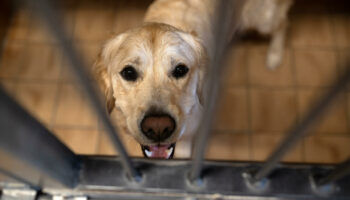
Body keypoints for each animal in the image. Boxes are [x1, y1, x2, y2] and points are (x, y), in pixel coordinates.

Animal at [93, 0, 292, 159]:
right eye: (128, 72)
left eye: (180, 69)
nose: (158, 128)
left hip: (263, 17)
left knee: (282, 22)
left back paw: (274, 55)